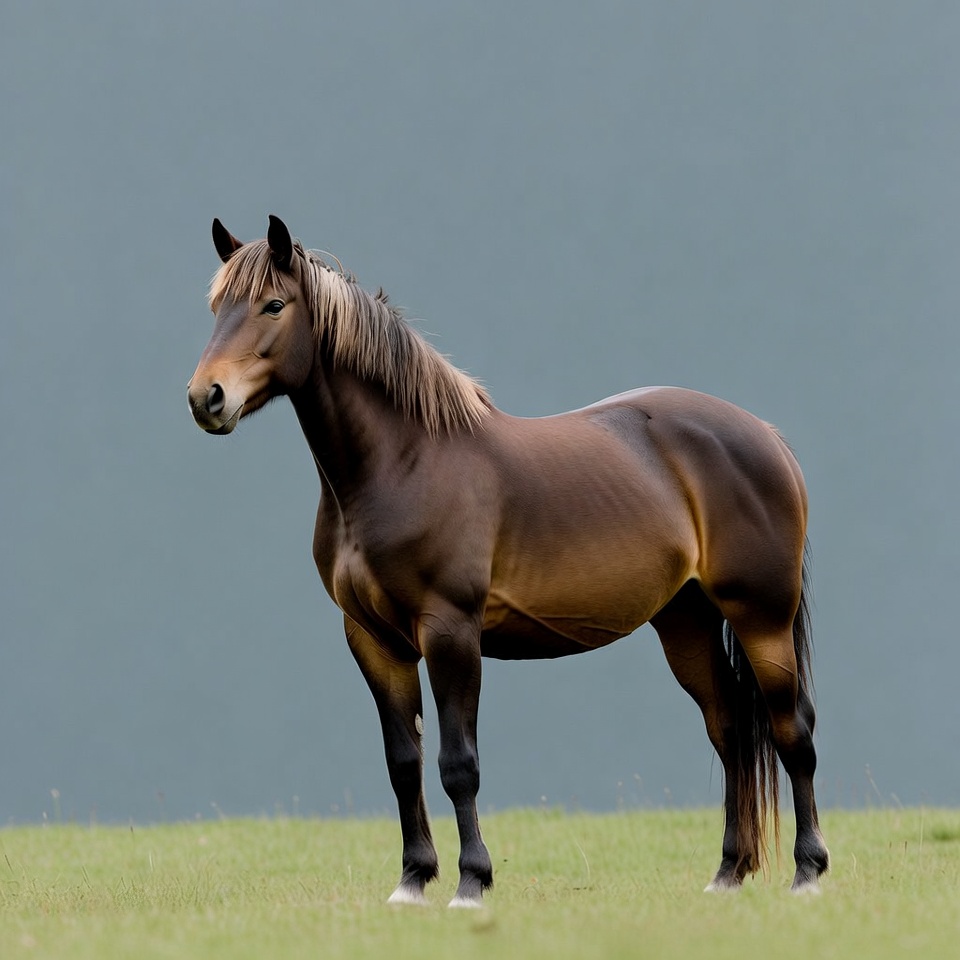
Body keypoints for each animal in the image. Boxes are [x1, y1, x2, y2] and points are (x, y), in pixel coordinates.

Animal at [187, 215, 829, 906]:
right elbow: (403, 762)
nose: (206, 398)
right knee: (730, 729)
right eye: (217, 307)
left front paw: (472, 881)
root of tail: (765, 436)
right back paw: (728, 873)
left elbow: (458, 764)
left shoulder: (450, 633)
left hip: (761, 618)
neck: (403, 464)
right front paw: (412, 881)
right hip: (686, 621)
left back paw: (808, 871)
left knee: (793, 731)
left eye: (274, 305)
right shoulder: (373, 640)